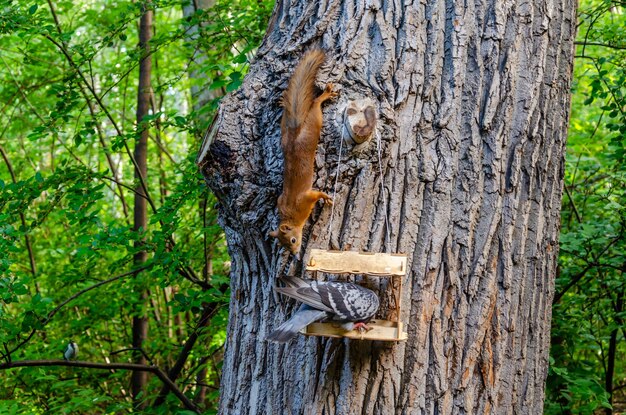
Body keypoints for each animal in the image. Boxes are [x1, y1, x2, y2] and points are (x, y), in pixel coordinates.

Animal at [268, 50, 336, 255]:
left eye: (291, 240)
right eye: (283, 245)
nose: (295, 253)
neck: (291, 215)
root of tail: (294, 135)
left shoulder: (305, 199)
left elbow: (316, 194)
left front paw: (326, 197)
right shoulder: (281, 200)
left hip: (314, 124)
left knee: (315, 105)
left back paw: (324, 95)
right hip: (284, 130)